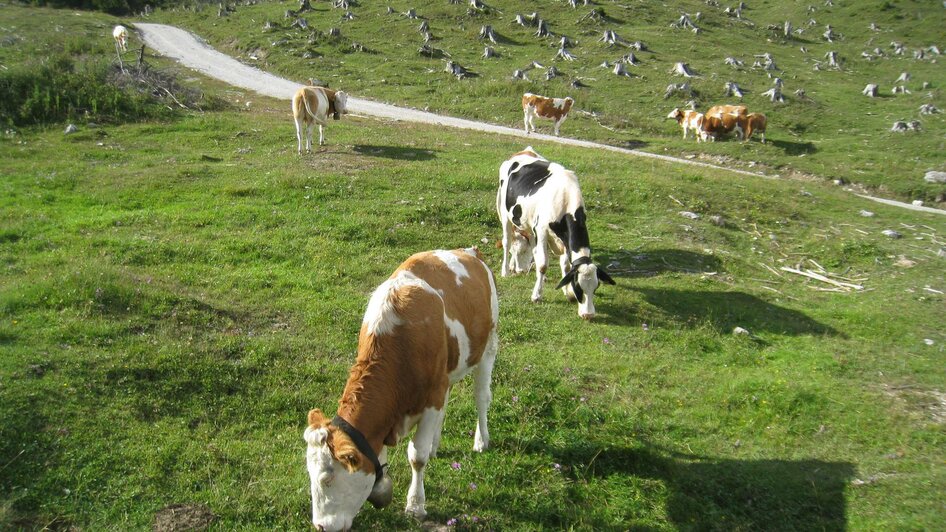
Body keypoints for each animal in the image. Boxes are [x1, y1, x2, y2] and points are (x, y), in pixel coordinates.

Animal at [304, 248, 498, 532]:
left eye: (327, 479)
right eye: (309, 473)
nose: (320, 526)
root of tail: (469, 251)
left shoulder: (431, 397)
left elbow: (417, 456)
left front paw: (415, 505)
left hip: (488, 346)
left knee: (481, 397)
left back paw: (481, 440)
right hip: (448, 372)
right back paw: (436, 444)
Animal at [498, 147, 616, 320]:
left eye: (595, 287)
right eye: (579, 286)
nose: (588, 315)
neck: (566, 201)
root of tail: (523, 152)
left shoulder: (563, 239)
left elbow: (566, 264)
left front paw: (567, 292)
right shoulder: (541, 230)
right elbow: (543, 265)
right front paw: (537, 295)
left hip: (528, 222)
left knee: (529, 246)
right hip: (506, 214)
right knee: (507, 242)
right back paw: (506, 271)